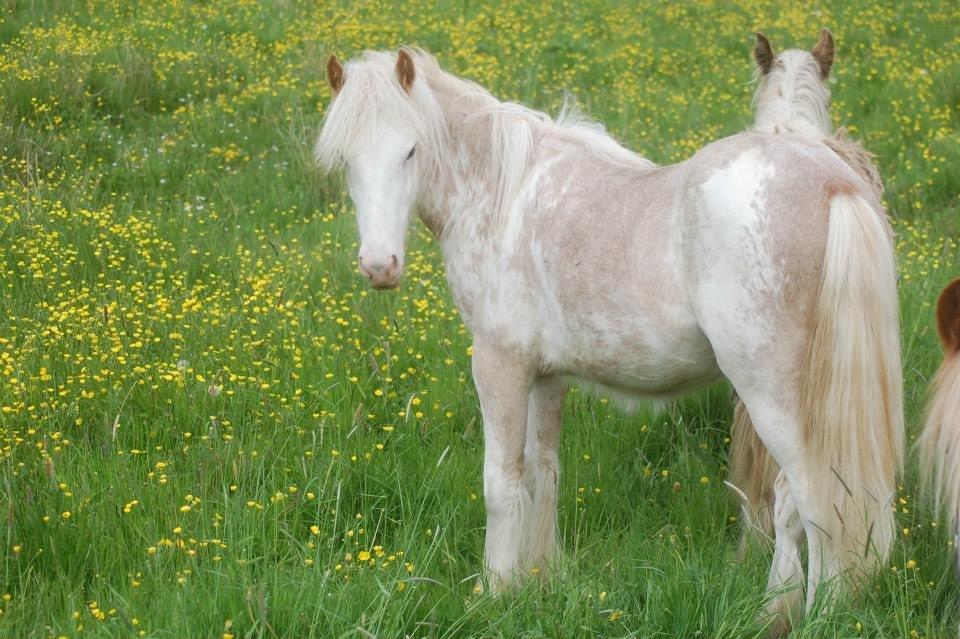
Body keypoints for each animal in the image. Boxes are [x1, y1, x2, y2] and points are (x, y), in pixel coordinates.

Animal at [316, 47, 908, 632]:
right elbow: (542, 472)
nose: (379, 267)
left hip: (774, 401)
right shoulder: (547, 376)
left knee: (817, 503)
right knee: (790, 505)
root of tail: (832, 182)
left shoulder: (500, 364)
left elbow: (501, 482)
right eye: (346, 160)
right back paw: (771, 611)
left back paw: (818, 616)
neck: (505, 195)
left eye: (411, 150)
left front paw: (495, 591)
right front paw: (540, 579)